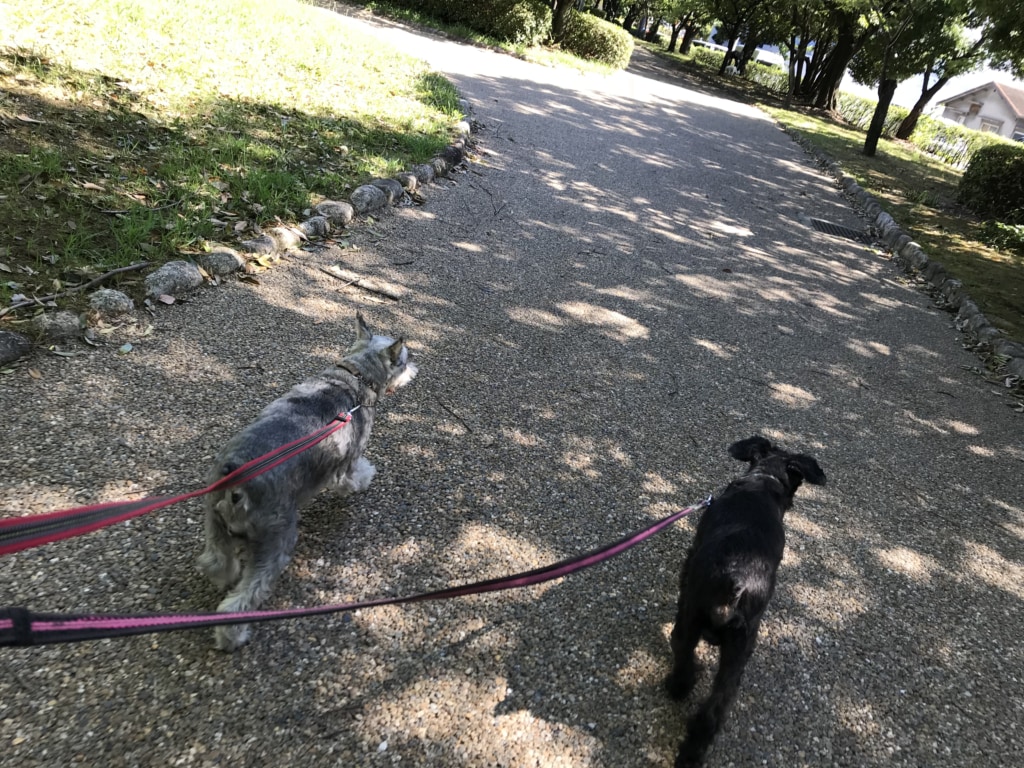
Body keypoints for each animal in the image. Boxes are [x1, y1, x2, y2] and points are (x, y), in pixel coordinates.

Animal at [197, 311, 417, 651]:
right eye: (404, 361)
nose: (416, 368)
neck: (355, 377)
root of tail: (237, 483)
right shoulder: (345, 467)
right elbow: (356, 476)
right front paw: (369, 476)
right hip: (276, 538)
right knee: (242, 598)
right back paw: (232, 636)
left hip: (214, 521)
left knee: (216, 561)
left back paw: (223, 578)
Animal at [663, 436, 823, 765]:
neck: (763, 480)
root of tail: (733, 583)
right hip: (733, 646)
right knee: (713, 708)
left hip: (700, 624)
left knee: (685, 659)